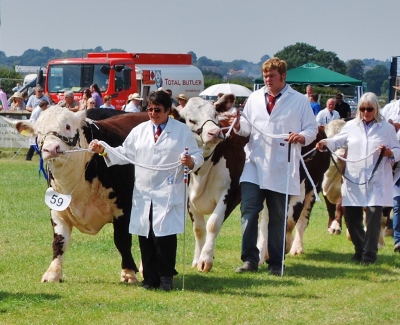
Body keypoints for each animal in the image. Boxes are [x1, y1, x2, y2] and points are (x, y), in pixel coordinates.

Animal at [16, 105, 149, 280]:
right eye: (38, 131)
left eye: (67, 126)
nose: (51, 149)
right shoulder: (57, 210)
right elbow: (59, 241)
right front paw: (53, 273)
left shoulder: (124, 207)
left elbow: (122, 240)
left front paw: (128, 273)